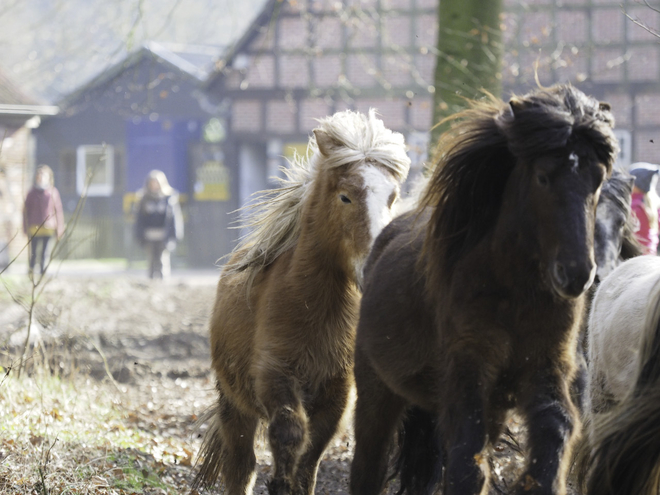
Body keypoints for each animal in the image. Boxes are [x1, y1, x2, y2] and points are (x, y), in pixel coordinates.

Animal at [191, 109, 410, 495]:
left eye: (392, 197)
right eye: (345, 197)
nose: (375, 266)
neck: (312, 309)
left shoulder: (338, 390)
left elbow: (311, 457)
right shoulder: (275, 376)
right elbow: (290, 433)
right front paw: (279, 481)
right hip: (235, 405)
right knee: (241, 466)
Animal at [350, 85, 620, 495]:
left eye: (598, 179)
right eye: (543, 177)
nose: (577, 275)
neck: (514, 290)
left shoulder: (545, 363)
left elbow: (554, 427)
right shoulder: (469, 363)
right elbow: (467, 458)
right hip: (377, 393)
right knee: (368, 463)